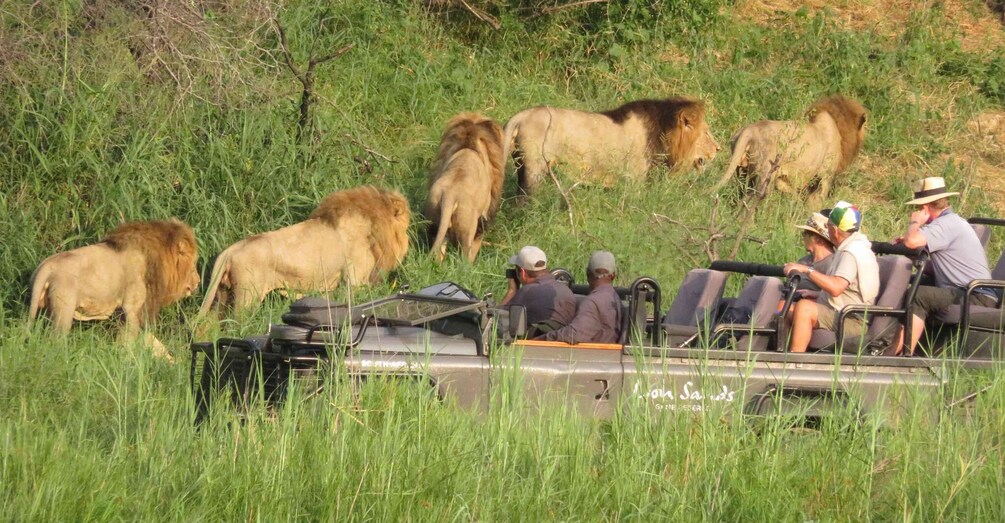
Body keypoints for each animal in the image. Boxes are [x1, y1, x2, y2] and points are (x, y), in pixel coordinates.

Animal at [28, 218, 201, 350]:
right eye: (194, 264)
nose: (199, 281)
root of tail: (46, 267)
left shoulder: (122, 313)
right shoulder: (133, 308)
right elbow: (130, 338)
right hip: (63, 310)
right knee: (56, 338)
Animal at [426, 112, 506, 263]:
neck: (469, 144)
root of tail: (451, 195)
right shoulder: (484, 216)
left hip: (434, 214)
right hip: (467, 226)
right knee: (465, 258)